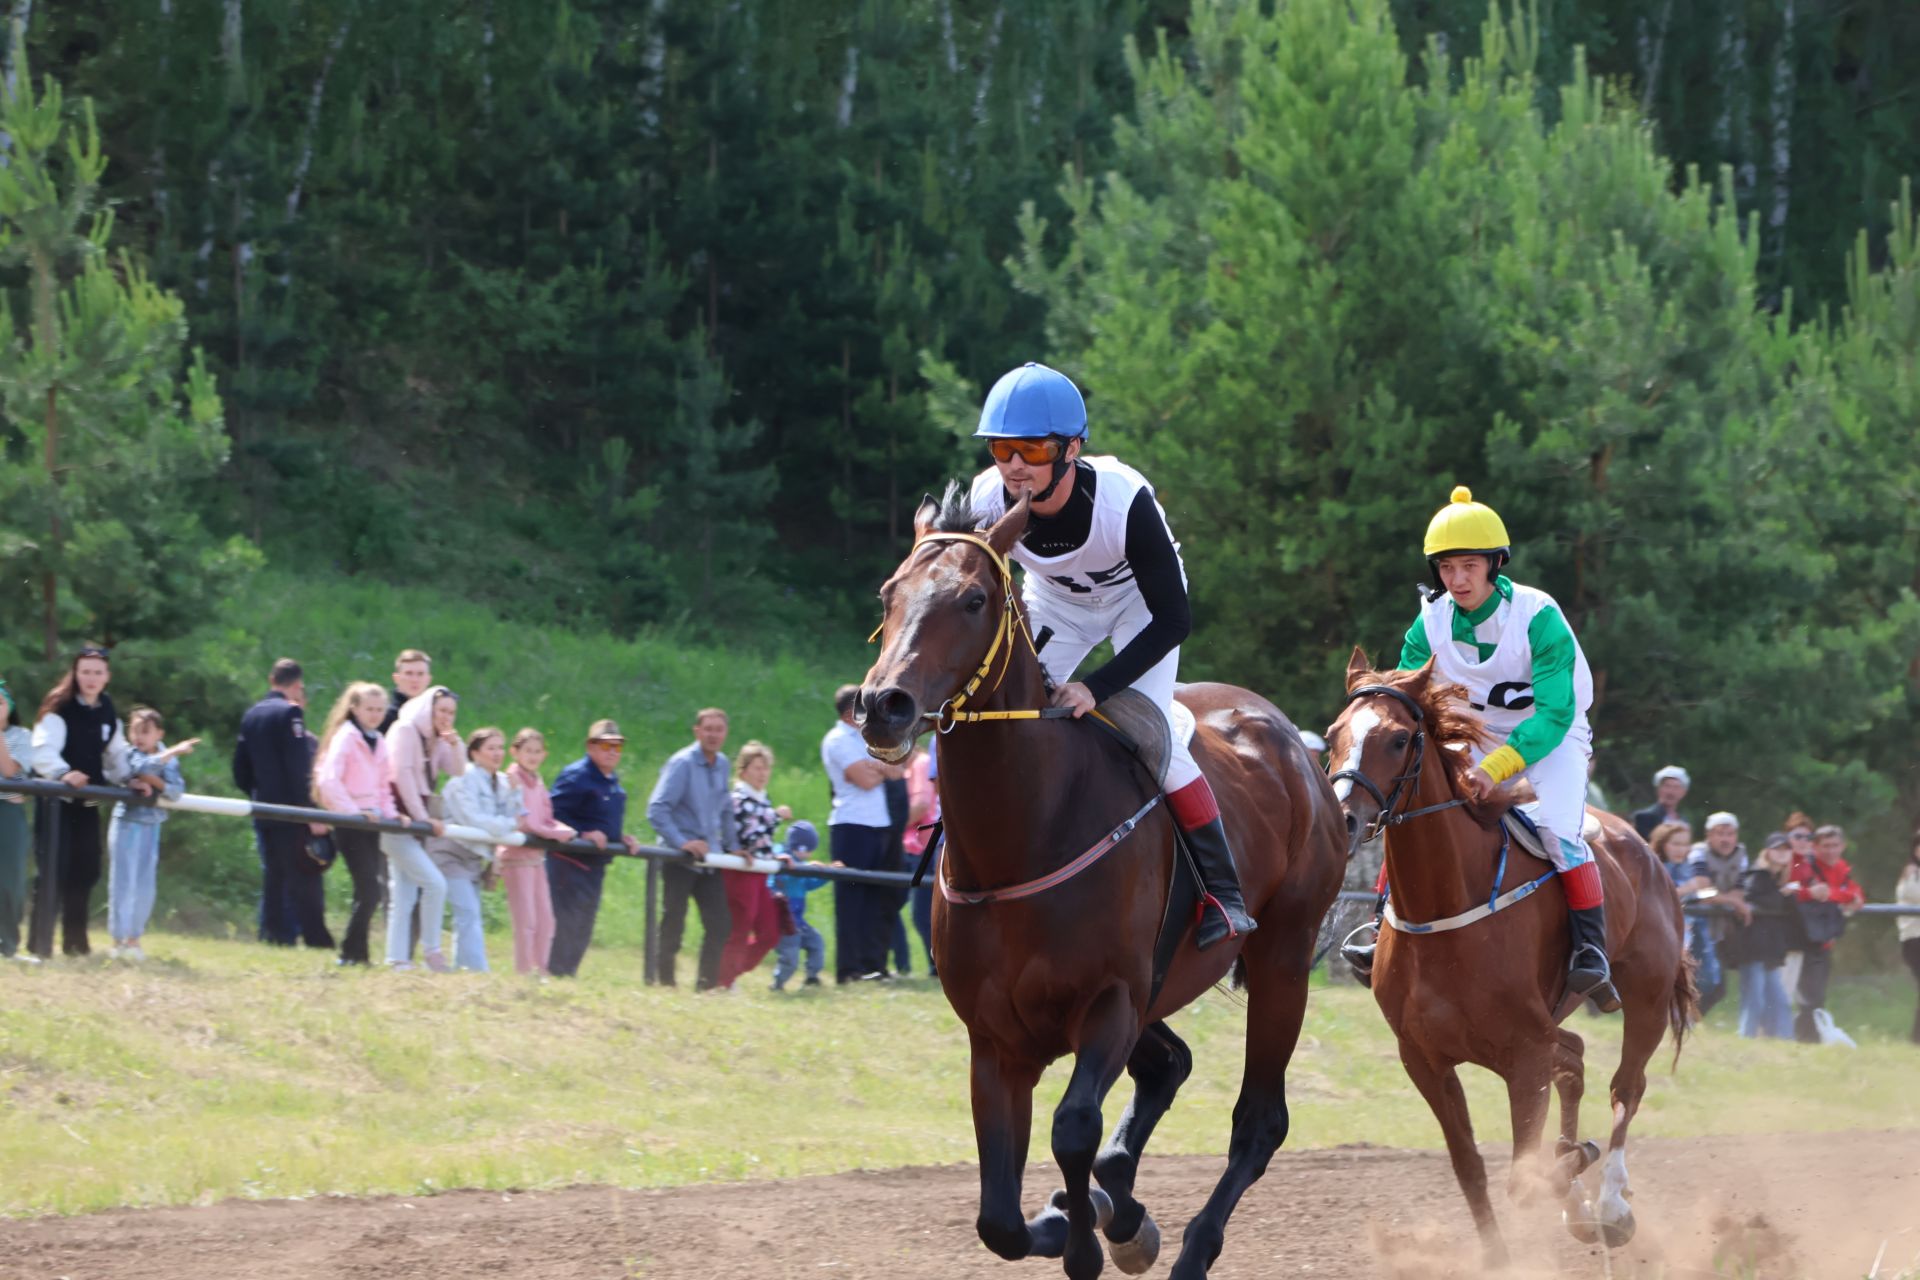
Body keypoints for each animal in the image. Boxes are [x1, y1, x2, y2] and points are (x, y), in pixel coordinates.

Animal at [864, 491, 1344, 1280]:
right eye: (889, 593)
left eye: (972, 599)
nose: (882, 704)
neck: (1022, 838)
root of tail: (1300, 748)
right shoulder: (995, 1040)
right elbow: (998, 1219)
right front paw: (1084, 1215)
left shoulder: (1111, 1003)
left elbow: (1073, 1127)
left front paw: (1087, 1233)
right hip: (1166, 985)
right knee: (1171, 1065)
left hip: (1282, 956)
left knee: (1259, 1121)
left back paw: (1191, 1247)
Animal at [1328, 656, 1689, 1266]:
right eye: (1333, 735)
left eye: (1399, 739)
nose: (1346, 820)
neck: (1447, 909)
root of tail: (1645, 846)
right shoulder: (1424, 1058)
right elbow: (1470, 1167)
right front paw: (1502, 1251)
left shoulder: (1525, 1053)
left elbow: (1526, 1177)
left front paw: (1573, 1172)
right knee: (1577, 1060)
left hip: (1647, 997)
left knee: (1626, 1086)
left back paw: (1610, 1205)